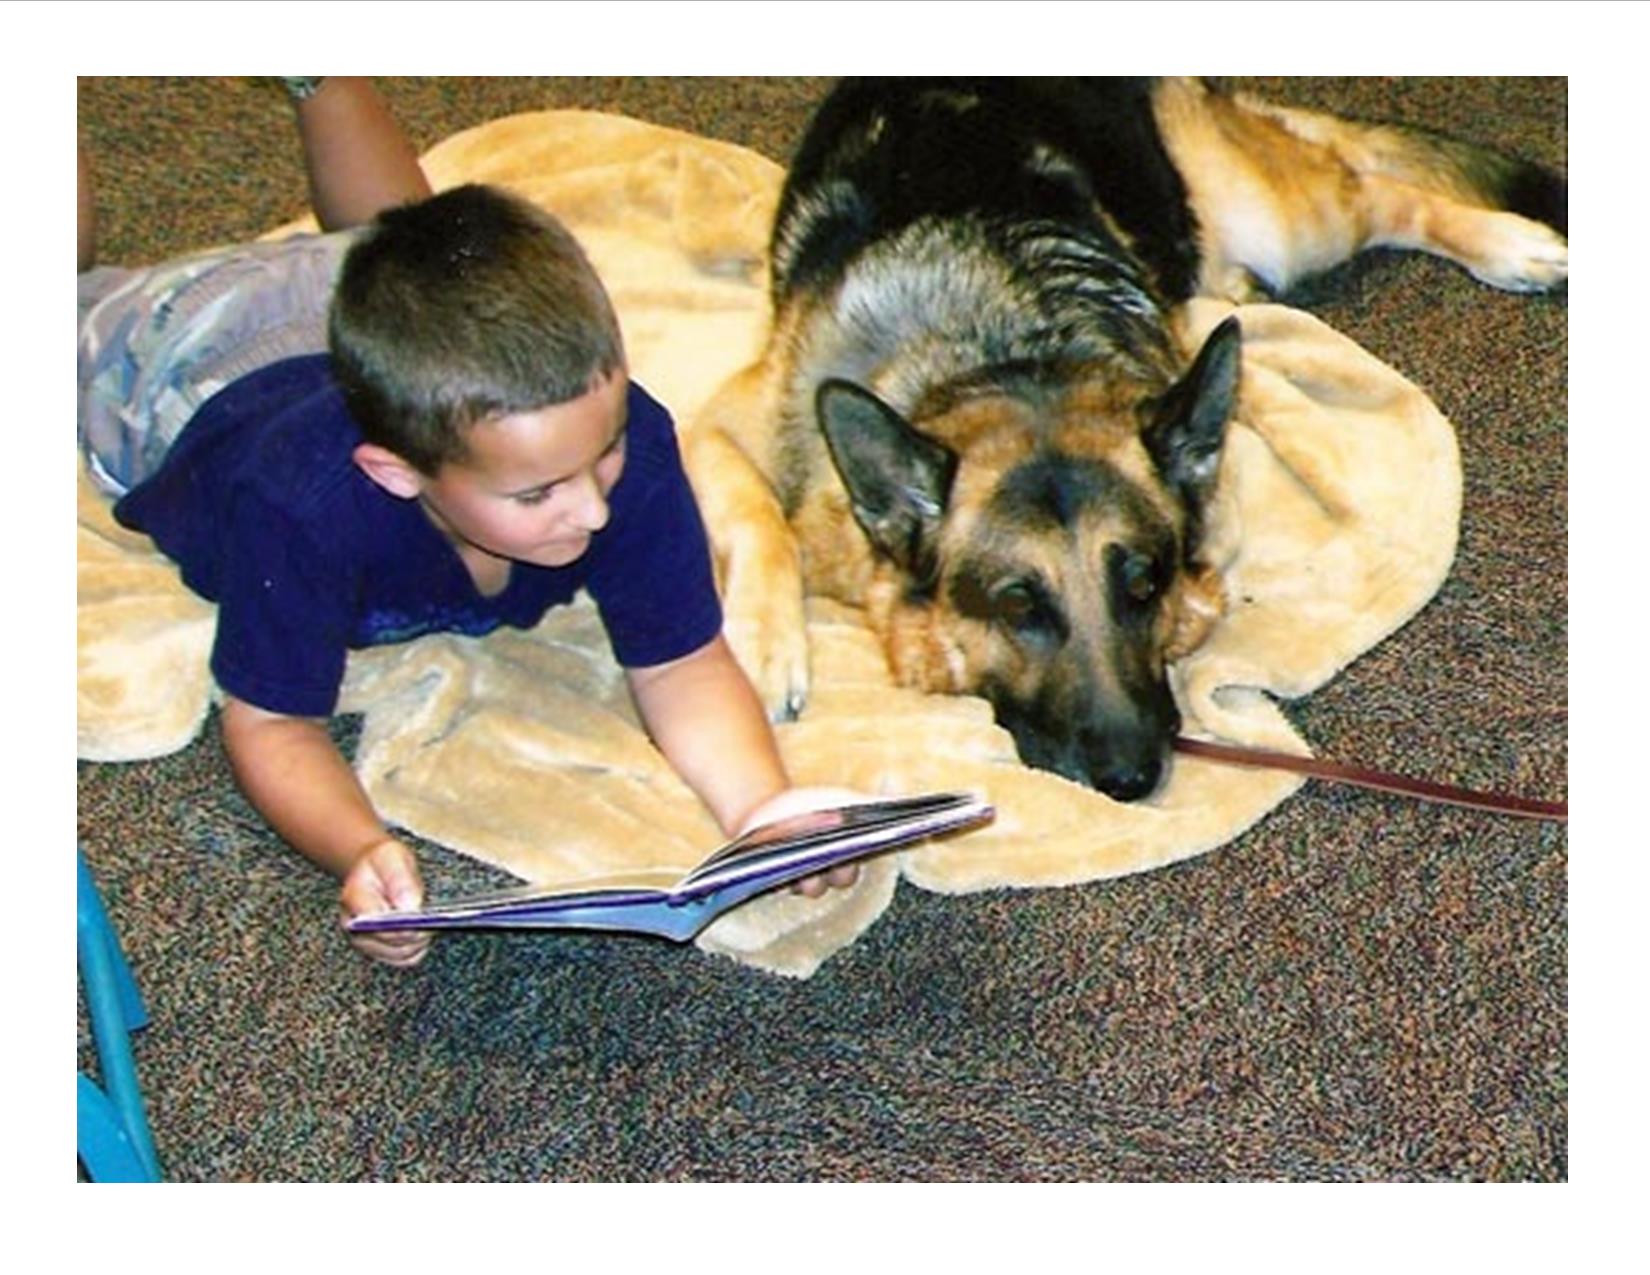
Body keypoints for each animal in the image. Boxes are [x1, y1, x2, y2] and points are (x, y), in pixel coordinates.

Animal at [686, 77, 1570, 795]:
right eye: (1018, 605)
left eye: (1143, 585)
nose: (1134, 776)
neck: (1003, 355)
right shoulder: (715, 425)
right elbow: (760, 519)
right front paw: (763, 645)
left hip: (1284, 218)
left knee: (1378, 190)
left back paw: (1511, 244)